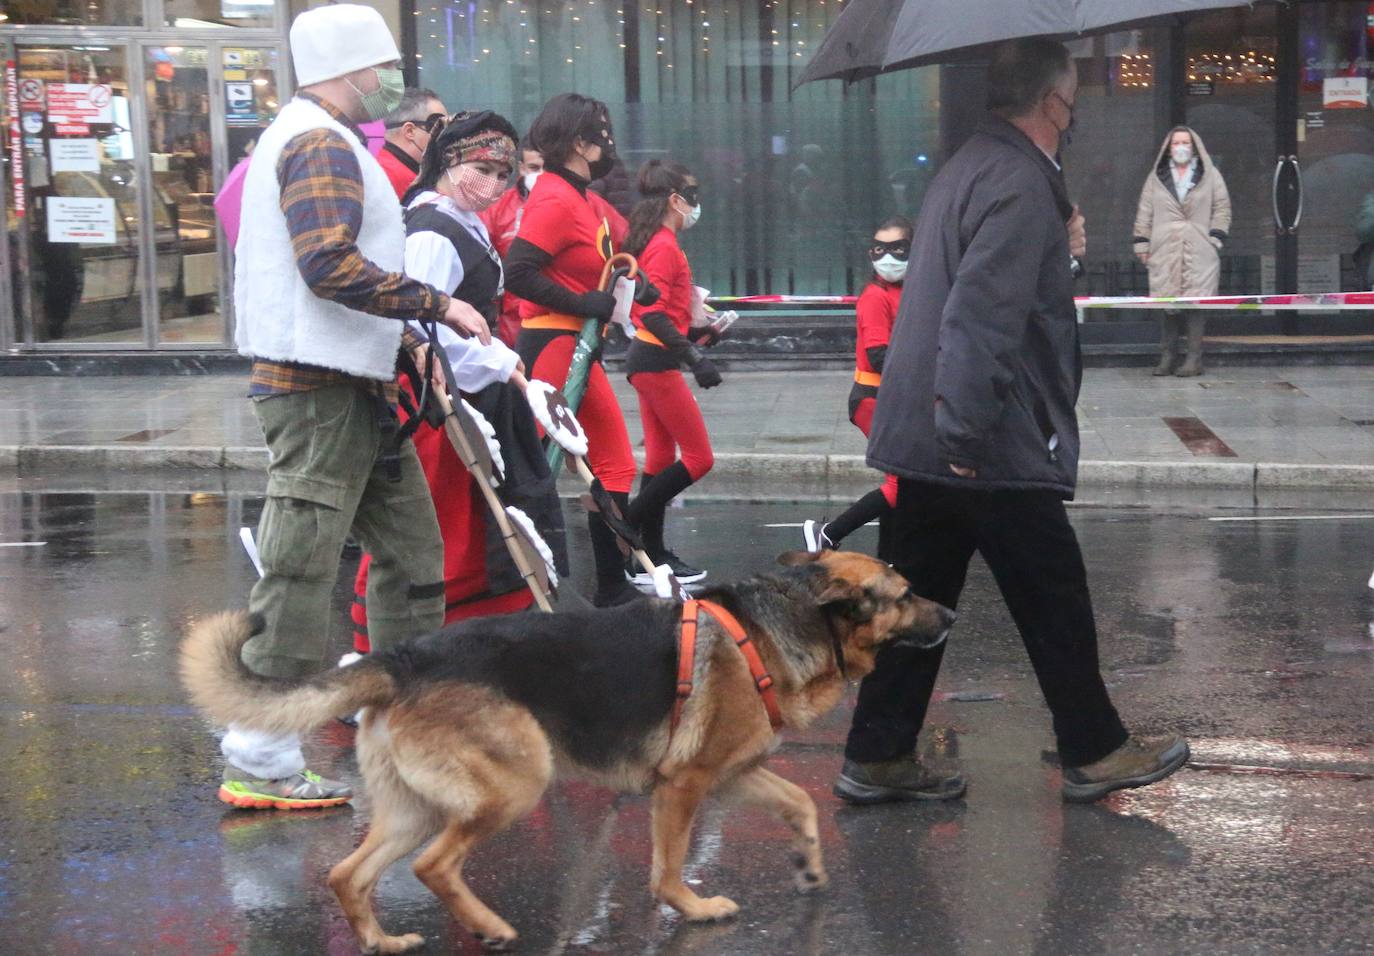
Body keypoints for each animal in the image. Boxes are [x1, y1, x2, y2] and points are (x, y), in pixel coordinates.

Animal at [182, 549, 956, 950]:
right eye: (905, 593)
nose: (951, 613)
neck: (784, 624)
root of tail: (404, 658)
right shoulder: (684, 786)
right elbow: (667, 867)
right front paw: (692, 908)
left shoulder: (734, 775)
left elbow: (800, 802)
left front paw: (809, 863)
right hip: (512, 788)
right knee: (434, 866)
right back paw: (492, 927)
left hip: (414, 809)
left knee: (349, 875)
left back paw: (382, 940)